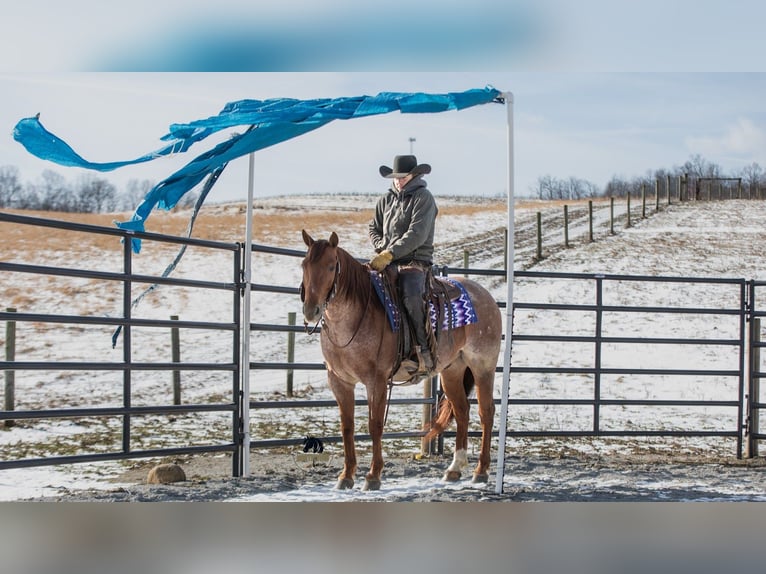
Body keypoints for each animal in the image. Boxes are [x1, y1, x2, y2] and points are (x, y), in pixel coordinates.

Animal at [300, 230, 503, 491]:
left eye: (331, 265)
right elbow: (347, 427)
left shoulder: (376, 380)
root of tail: (486, 296)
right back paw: (454, 469)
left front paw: (373, 476)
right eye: (305, 265)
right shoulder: (339, 381)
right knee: (462, 411)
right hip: (452, 370)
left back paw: (481, 470)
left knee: (486, 412)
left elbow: (375, 425)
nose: (311, 310)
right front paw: (346, 476)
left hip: (483, 366)